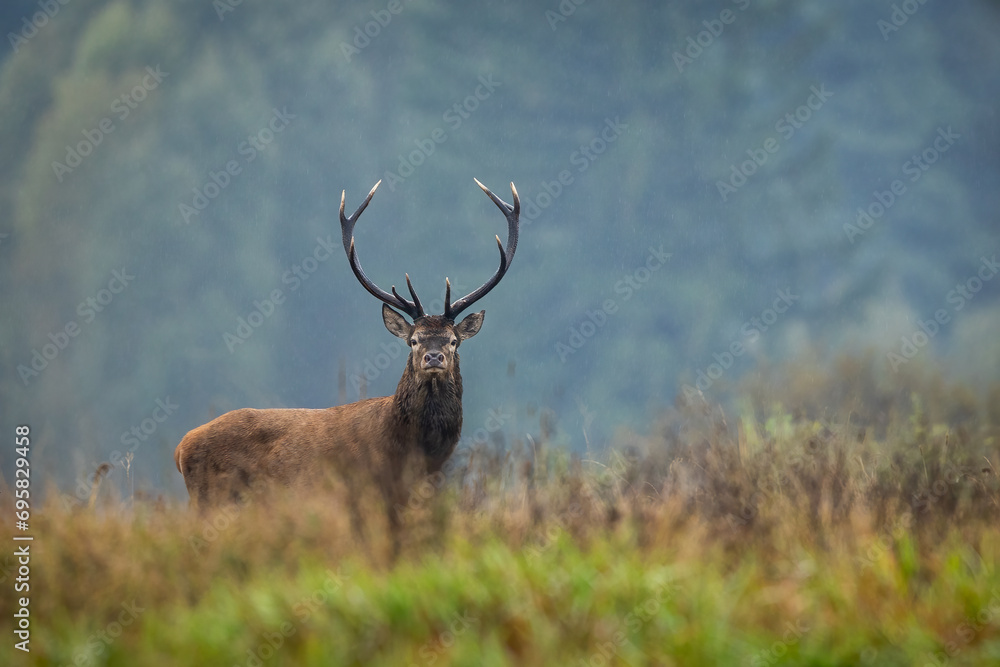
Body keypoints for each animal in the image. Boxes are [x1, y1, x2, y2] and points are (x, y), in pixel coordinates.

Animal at [175, 180, 520, 540]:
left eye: (454, 341)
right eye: (413, 340)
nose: (434, 356)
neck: (416, 451)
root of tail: (181, 447)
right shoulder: (364, 492)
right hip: (211, 498)